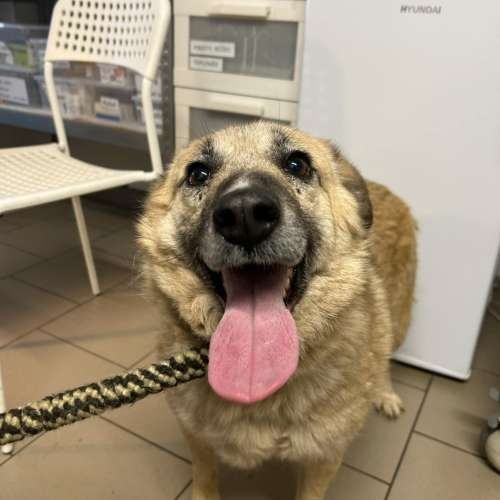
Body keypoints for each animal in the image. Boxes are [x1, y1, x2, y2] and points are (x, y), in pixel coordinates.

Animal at [137, 122, 417, 500]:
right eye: (198, 173)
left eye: (298, 164)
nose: (243, 213)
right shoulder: (197, 438)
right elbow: (204, 480)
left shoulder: (324, 457)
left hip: (398, 319)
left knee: (385, 354)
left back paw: (384, 393)